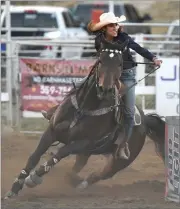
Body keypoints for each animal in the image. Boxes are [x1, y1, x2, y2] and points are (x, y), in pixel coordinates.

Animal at [3, 37, 166, 199]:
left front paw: (34, 177)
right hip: (86, 153)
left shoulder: (82, 142)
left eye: (120, 63)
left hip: (119, 160)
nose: (105, 89)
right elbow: (34, 157)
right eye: (100, 60)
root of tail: (145, 120)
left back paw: (81, 185)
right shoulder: (51, 132)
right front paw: (14, 188)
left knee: (101, 174)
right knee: (75, 170)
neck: (84, 108)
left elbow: (59, 154)